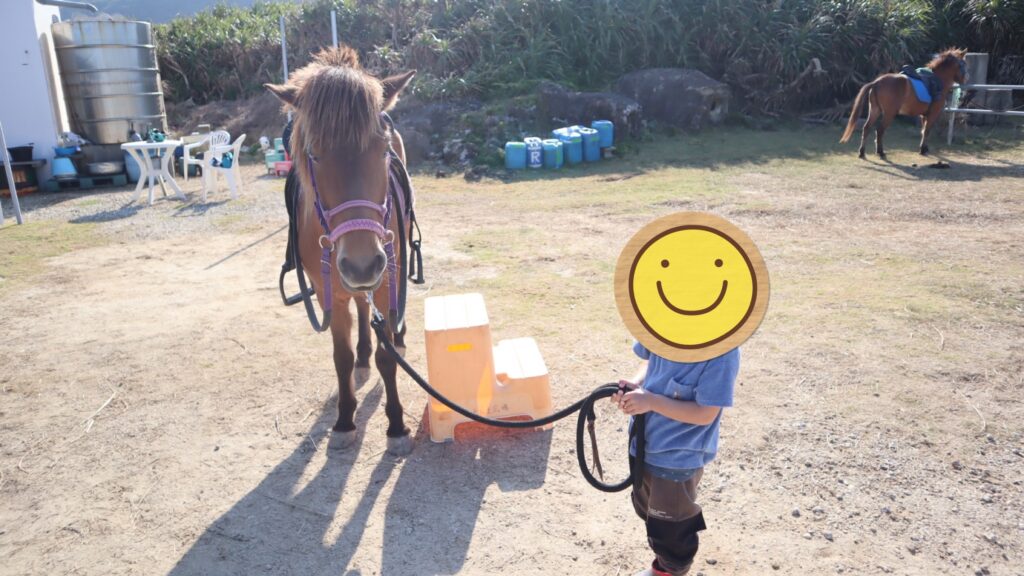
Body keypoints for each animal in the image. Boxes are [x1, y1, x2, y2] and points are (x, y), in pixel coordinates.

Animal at [266, 46, 417, 455]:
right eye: (314, 154)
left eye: (382, 151)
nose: (363, 264)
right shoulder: (327, 290)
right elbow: (342, 356)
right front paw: (346, 419)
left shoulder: (385, 278)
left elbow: (386, 357)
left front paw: (396, 425)